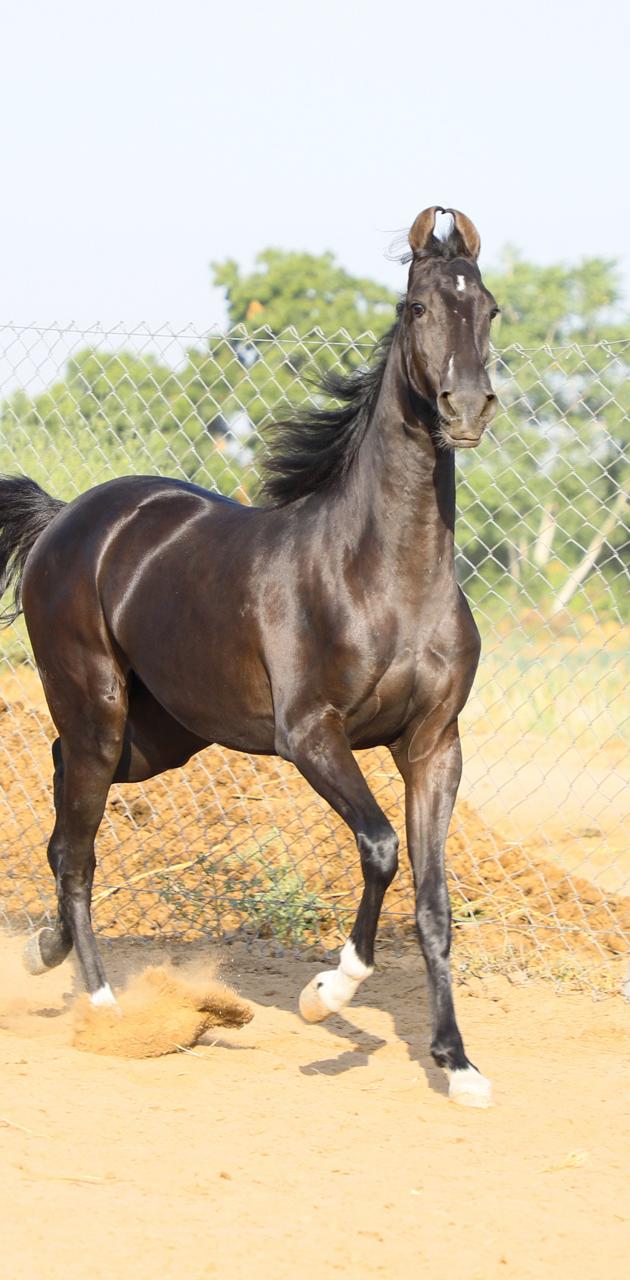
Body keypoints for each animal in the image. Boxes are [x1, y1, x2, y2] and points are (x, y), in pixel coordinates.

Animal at [1, 204, 501, 1105]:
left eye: (489, 309)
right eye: (417, 308)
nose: (468, 406)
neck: (384, 575)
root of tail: (65, 518)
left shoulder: (434, 747)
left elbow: (435, 902)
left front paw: (458, 1064)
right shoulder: (311, 735)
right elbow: (380, 848)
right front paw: (325, 993)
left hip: (157, 739)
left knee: (64, 818)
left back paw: (42, 952)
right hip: (98, 707)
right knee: (79, 849)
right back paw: (103, 1004)